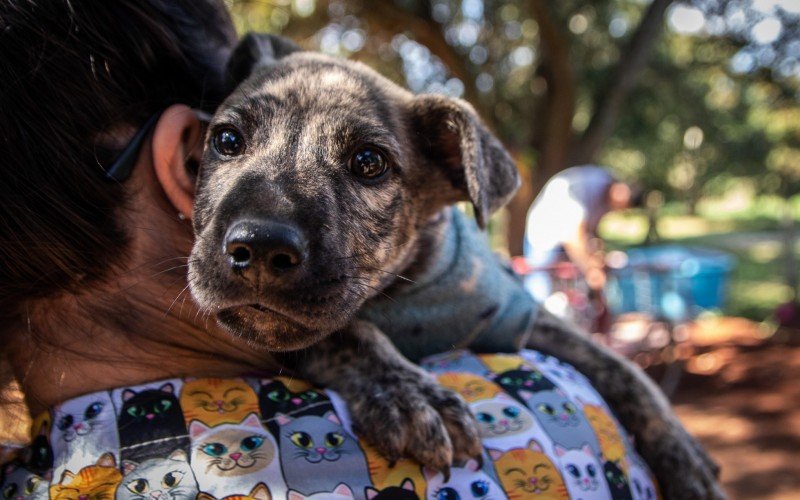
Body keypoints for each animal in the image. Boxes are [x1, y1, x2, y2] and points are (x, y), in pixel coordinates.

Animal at [189, 33, 724, 498]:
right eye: (227, 140)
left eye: (369, 162)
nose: (259, 248)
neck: (412, 289)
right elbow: (347, 332)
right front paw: (411, 396)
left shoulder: (525, 317)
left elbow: (622, 369)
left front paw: (686, 460)